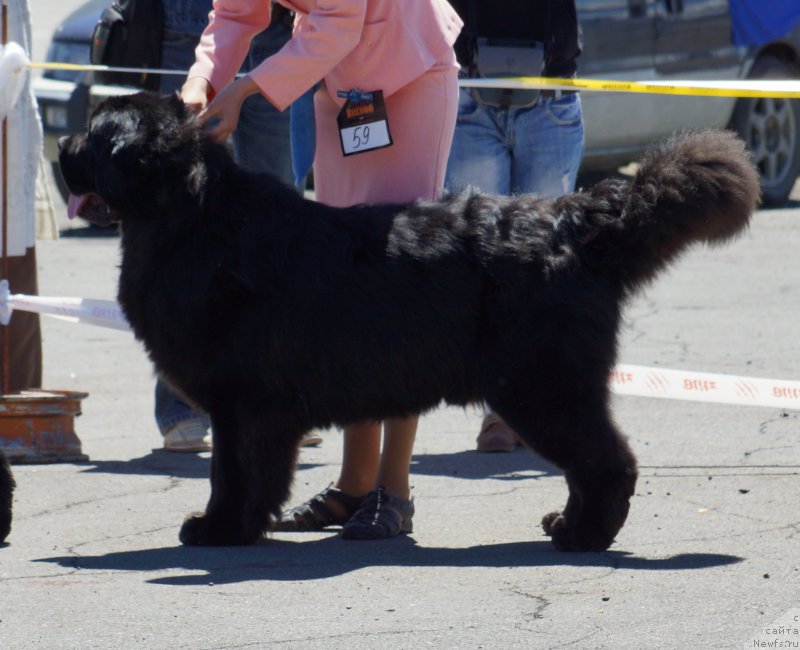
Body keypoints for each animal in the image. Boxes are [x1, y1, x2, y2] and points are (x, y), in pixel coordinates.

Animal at [57, 92, 756, 548]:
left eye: (93, 133)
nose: (60, 144)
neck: (188, 218)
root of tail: (573, 218)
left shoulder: (241, 404)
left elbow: (232, 472)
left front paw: (218, 529)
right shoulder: (256, 408)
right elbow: (257, 475)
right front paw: (247, 527)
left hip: (540, 388)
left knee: (607, 462)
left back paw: (583, 536)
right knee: (592, 461)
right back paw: (566, 524)